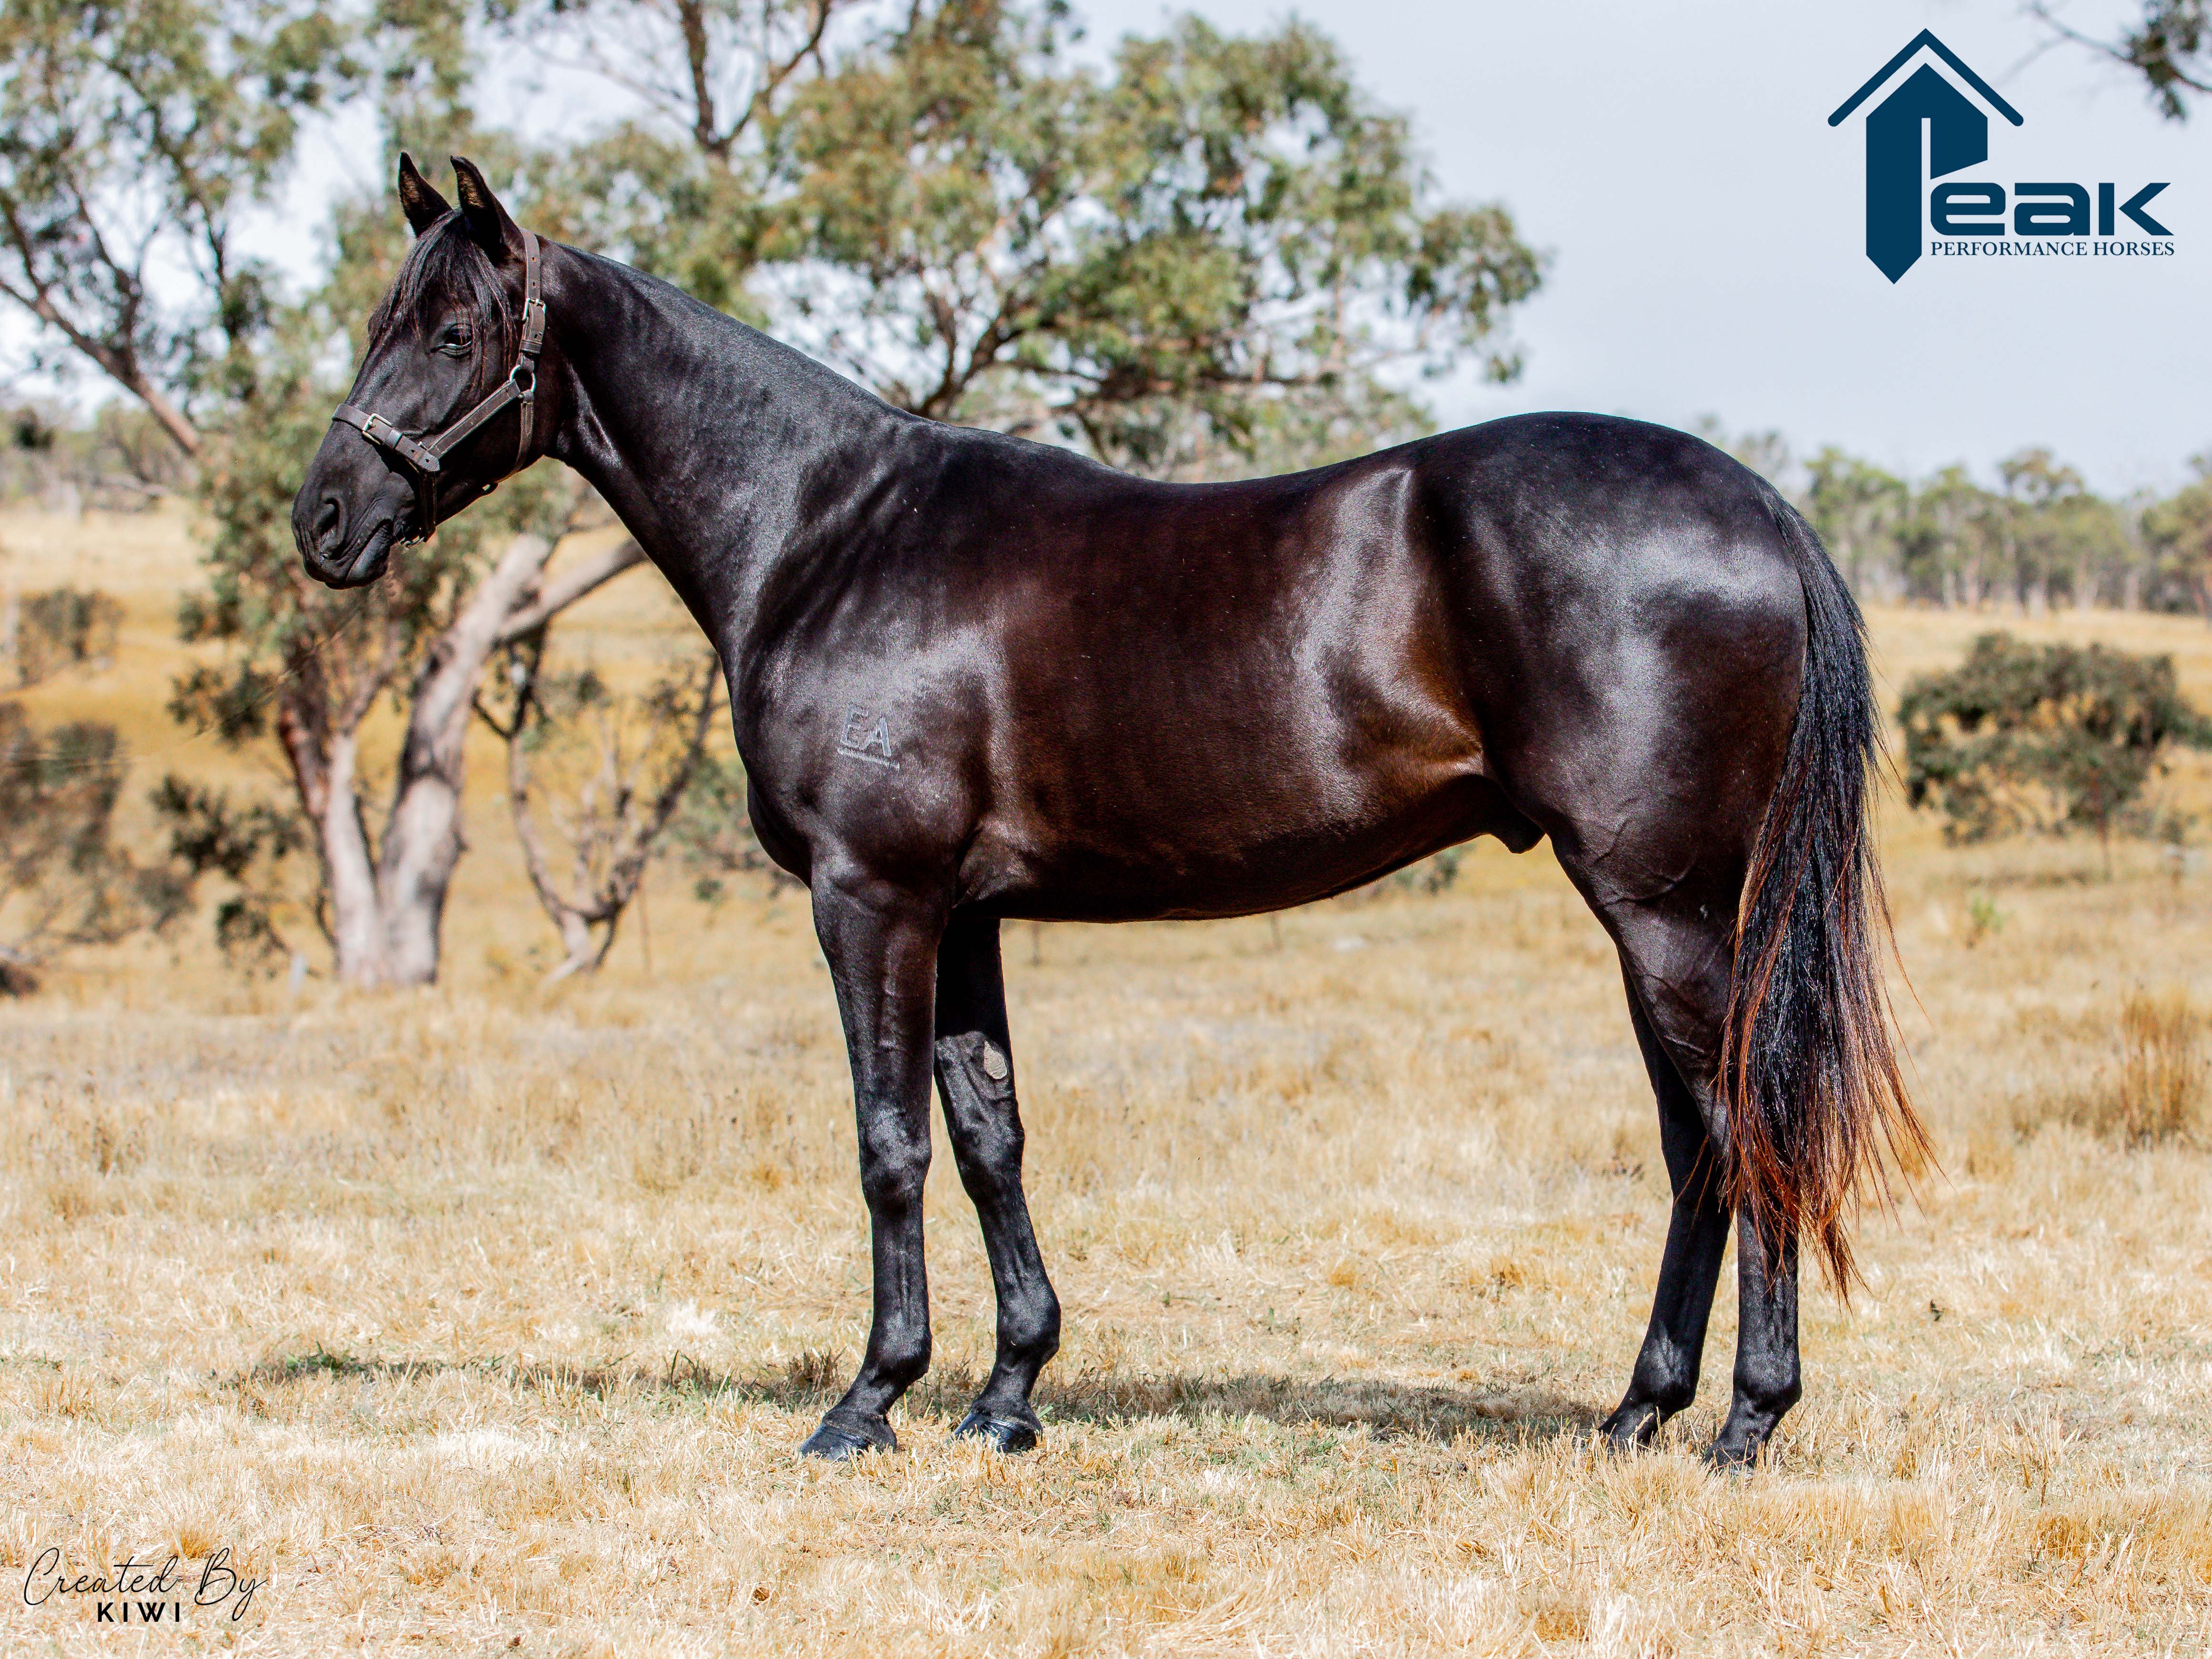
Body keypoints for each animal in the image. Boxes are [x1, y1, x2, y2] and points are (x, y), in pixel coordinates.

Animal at [294, 155, 1924, 1468]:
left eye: (452, 332)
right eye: (382, 319)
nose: (323, 518)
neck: (828, 531)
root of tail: (1761, 510)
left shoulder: (869, 897)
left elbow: (887, 1142)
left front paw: (866, 1401)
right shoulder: (959, 916)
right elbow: (985, 1134)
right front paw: (1006, 1393)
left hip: (1659, 904)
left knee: (1741, 1120)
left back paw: (1741, 1422)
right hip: (1667, 913)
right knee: (1696, 1137)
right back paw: (1639, 1409)